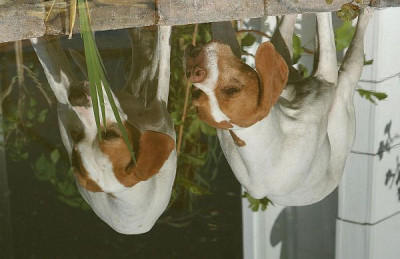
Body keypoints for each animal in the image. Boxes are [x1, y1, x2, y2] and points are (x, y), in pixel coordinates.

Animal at [184, 10, 372, 207]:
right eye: (232, 90)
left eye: (196, 96)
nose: (193, 72)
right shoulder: (325, 81)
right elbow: (324, 23)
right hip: (345, 93)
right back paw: (365, 15)